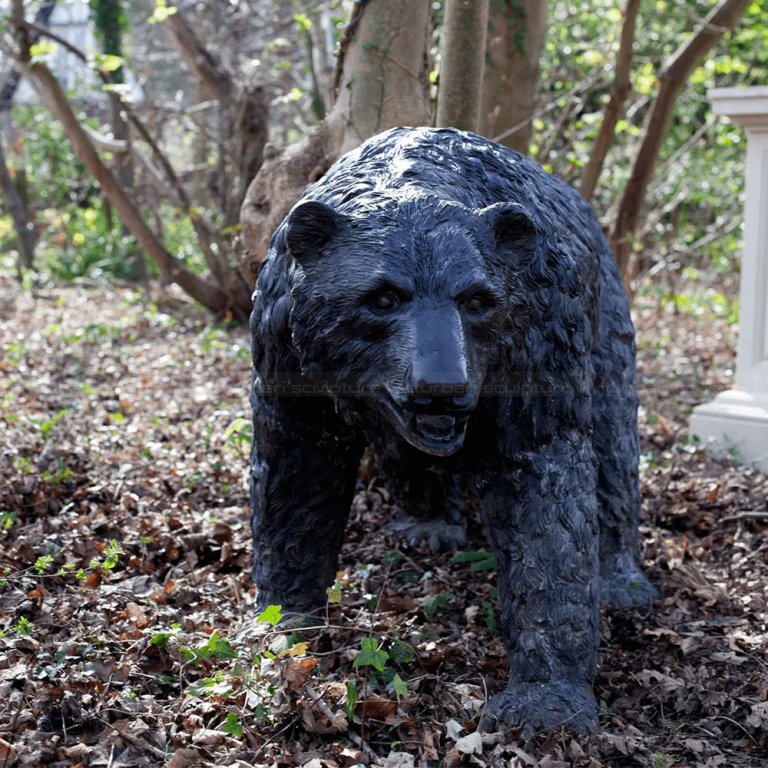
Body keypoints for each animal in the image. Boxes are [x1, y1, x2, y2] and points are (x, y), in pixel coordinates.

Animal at [249, 126, 658, 735]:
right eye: (383, 297)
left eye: (477, 300)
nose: (442, 384)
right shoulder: (288, 365)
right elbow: (294, 493)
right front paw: (284, 625)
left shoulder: (539, 351)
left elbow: (550, 513)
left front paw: (547, 700)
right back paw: (429, 525)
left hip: (605, 324)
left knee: (614, 444)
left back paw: (623, 582)